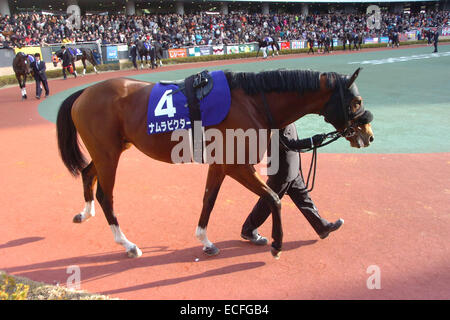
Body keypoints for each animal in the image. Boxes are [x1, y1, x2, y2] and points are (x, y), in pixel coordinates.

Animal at [56, 68, 372, 260]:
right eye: (356, 102)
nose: (368, 135)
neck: (252, 102)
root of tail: (84, 92)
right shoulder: (236, 166)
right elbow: (273, 198)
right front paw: (277, 244)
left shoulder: (220, 166)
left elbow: (209, 199)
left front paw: (205, 241)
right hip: (109, 155)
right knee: (106, 195)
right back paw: (127, 244)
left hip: (109, 151)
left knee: (87, 173)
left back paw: (85, 212)